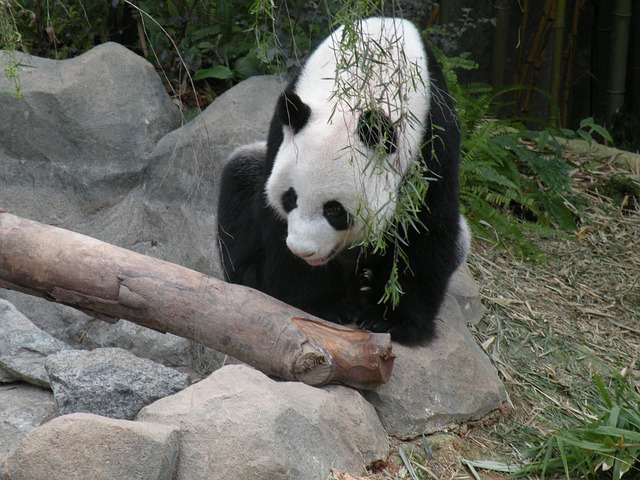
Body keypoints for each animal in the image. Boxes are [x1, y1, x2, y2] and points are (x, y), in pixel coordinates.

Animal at [217, 17, 470, 345]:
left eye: (334, 210)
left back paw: (365, 283)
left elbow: (423, 229)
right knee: (239, 177)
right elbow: (270, 216)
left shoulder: (433, 140)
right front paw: (324, 303)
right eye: (290, 198)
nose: (303, 251)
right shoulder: (283, 128)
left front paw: (390, 319)